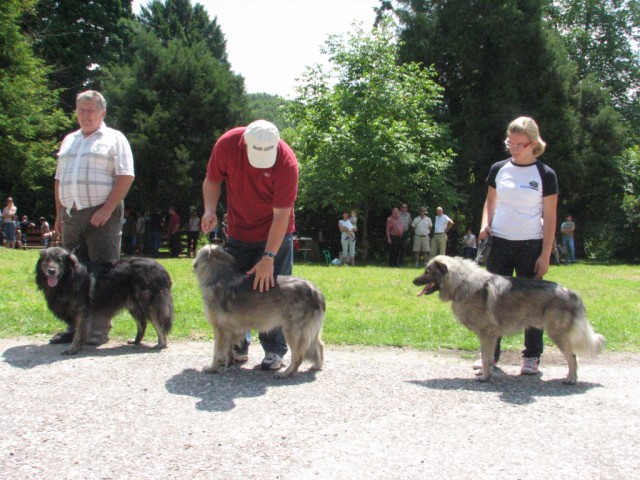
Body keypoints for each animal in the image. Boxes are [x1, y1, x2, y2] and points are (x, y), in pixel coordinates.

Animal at [36, 246, 174, 354]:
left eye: (59, 260)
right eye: (47, 260)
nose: (51, 271)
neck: (69, 278)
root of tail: (162, 269)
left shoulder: (82, 313)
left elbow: (79, 332)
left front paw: (73, 349)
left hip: (148, 305)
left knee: (158, 324)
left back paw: (161, 344)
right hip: (133, 305)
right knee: (143, 323)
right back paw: (136, 341)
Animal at [192, 244, 324, 378]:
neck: (219, 276)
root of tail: (316, 292)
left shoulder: (220, 329)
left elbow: (217, 352)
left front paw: (213, 368)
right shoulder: (230, 330)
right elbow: (228, 350)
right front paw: (228, 363)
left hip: (293, 331)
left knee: (298, 356)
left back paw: (286, 373)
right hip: (308, 331)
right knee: (319, 345)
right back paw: (317, 366)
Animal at [416, 256, 604, 384]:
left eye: (427, 272)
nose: (413, 281)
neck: (460, 282)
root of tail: (571, 293)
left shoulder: (487, 335)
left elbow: (485, 358)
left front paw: (485, 377)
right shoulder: (490, 337)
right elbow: (487, 357)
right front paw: (486, 374)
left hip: (556, 334)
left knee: (572, 357)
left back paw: (571, 379)